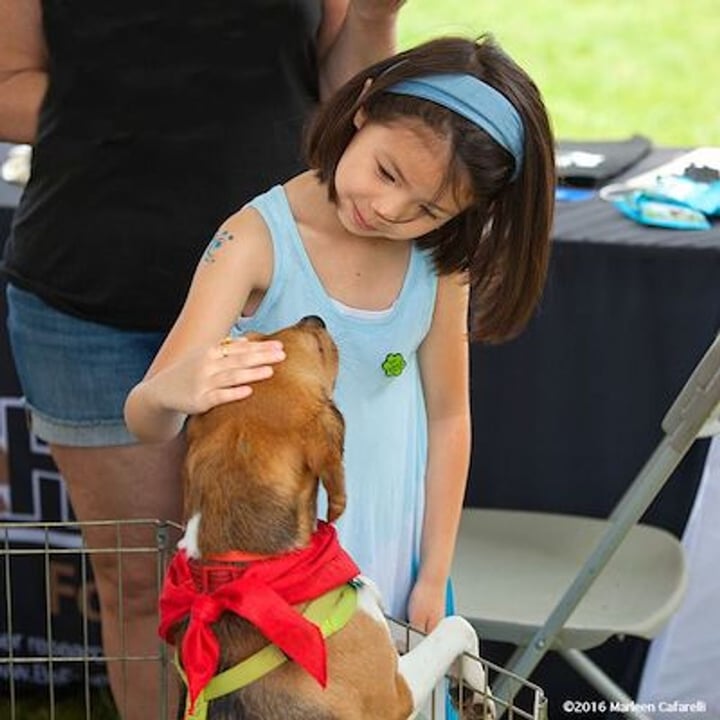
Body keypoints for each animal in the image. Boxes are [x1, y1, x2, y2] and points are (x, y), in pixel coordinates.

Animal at [160, 316, 492, 720]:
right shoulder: (395, 693)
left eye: (256, 338)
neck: (257, 565)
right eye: (316, 346)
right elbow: (455, 626)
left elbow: (418, 629)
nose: (314, 319)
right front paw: (479, 686)